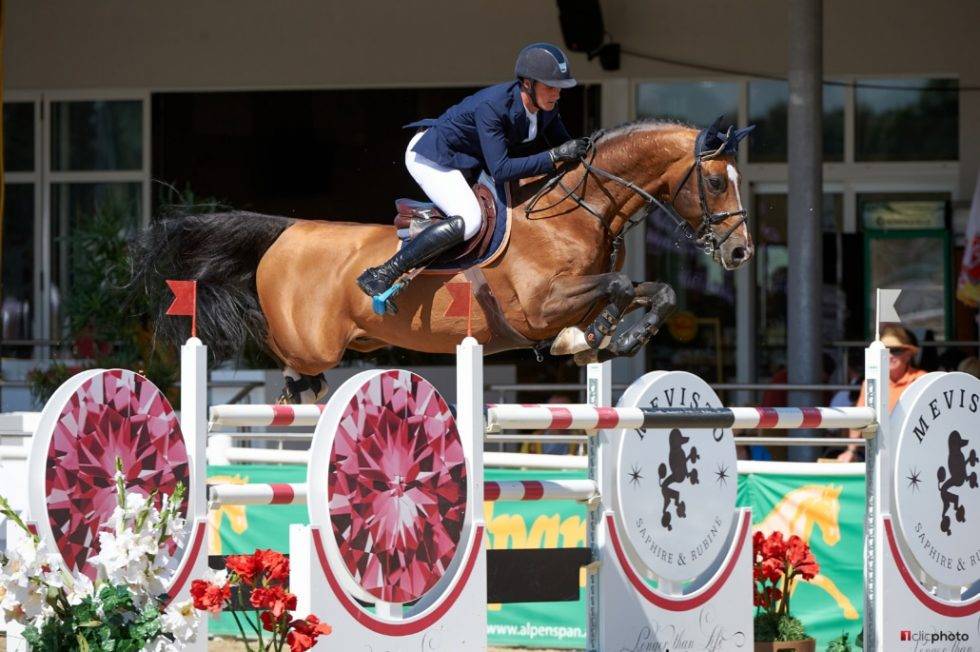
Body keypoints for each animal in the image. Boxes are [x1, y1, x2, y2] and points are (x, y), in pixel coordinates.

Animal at [133, 118, 754, 402]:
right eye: (716, 182)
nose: (740, 251)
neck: (578, 214)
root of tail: (287, 231)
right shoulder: (539, 307)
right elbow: (620, 286)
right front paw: (591, 338)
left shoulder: (578, 294)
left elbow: (651, 290)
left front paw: (614, 338)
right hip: (310, 344)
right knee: (283, 363)